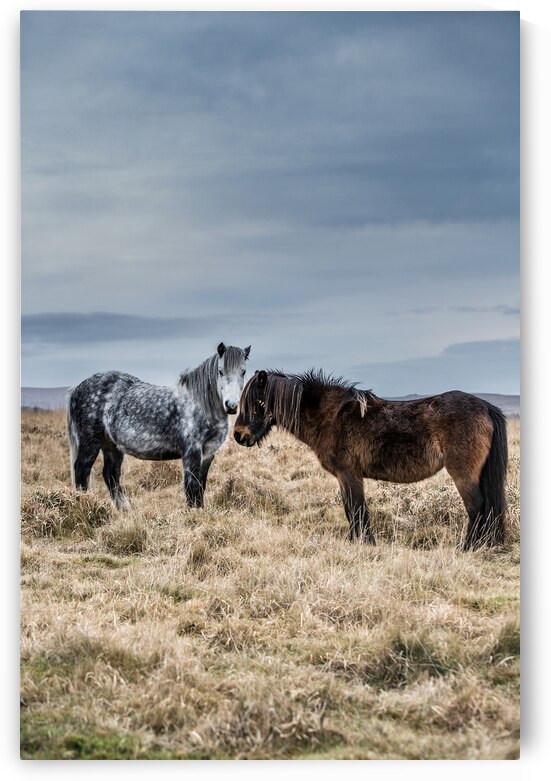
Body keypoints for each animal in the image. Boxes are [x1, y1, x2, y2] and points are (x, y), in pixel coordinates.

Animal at [67, 342, 251, 510]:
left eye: (243, 371)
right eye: (220, 371)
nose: (231, 405)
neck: (200, 404)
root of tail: (77, 389)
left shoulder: (208, 454)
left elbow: (200, 486)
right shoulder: (191, 452)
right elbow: (191, 487)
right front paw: (193, 514)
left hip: (112, 446)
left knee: (111, 475)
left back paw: (125, 510)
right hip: (90, 443)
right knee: (82, 471)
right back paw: (83, 505)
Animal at [233, 370, 508, 550]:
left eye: (256, 403)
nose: (238, 435)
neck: (330, 416)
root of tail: (485, 407)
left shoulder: (349, 474)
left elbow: (357, 509)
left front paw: (365, 544)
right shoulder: (344, 477)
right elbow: (350, 509)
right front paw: (357, 542)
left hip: (463, 474)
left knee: (477, 508)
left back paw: (468, 548)